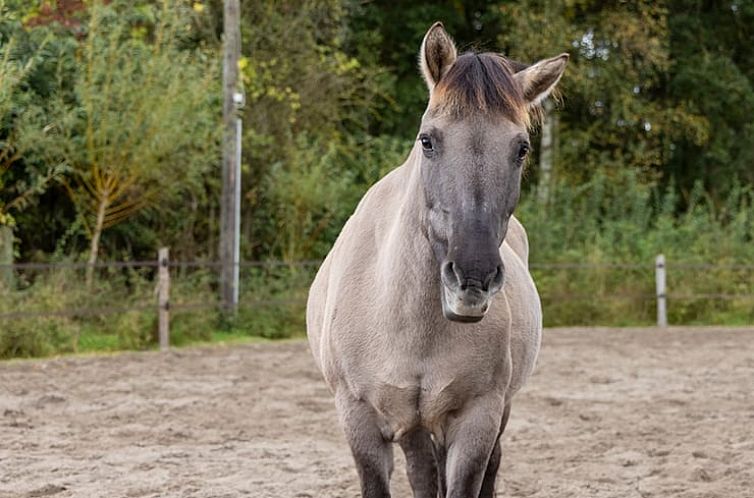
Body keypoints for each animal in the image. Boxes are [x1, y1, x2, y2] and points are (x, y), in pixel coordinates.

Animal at [304, 21, 564, 496]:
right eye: (427, 141)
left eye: (521, 148)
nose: (472, 277)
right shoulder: (360, 420)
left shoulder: (477, 419)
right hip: (413, 426)